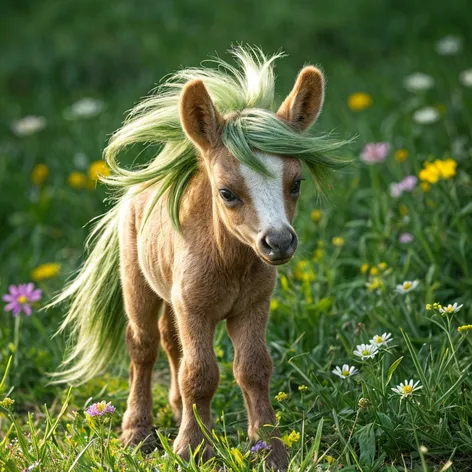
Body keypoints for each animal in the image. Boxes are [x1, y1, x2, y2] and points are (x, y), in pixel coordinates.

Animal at [52, 46, 346, 470]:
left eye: (296, 183)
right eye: (226, 192)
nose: (278, 242)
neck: (228, 262)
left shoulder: (251, 306)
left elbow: (253, 369)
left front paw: (270, 450)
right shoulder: (194, 307)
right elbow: (201, 374)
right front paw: (192, 449)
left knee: (170, 341)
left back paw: (177, 410)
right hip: (138, 283)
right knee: (143, 345)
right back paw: (137, 432)